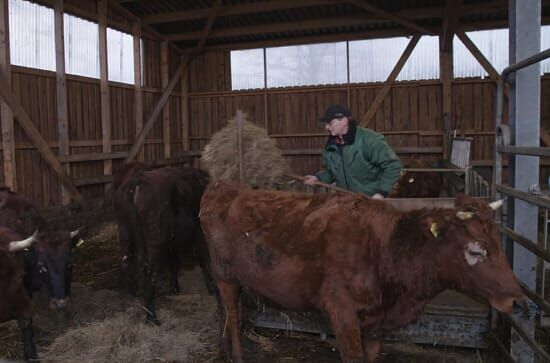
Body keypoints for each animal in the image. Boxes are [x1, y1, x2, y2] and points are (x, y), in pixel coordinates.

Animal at [113, 165, 215, 324]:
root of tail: (135, 183)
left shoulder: (172, 239)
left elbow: (175, 260)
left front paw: (174, 288)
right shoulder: (198, 230)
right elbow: (203, 257)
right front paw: (212, 289)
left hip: (125, 232)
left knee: (126, 262)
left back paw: (130, 300)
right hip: (155, 240)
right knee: (150, 271)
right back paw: (152, 317)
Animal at [202, 182, 528, 363]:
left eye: (499, 244)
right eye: (475, 251)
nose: (518, 301)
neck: (385, 248)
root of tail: (223, 187)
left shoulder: (378, 321)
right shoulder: (340, 309)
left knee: (223, 313)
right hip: (224, 274)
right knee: (232, 313)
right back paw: (237, 356)